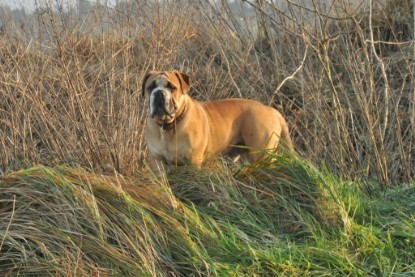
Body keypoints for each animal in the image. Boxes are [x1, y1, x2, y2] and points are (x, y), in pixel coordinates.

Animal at [145, 69, 294, 168]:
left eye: (172, 87)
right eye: (150, 87)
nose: (159, 93)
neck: (168, 127)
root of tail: (271, 110)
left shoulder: (193, 161)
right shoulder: (157, 162)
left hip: (263, 155)